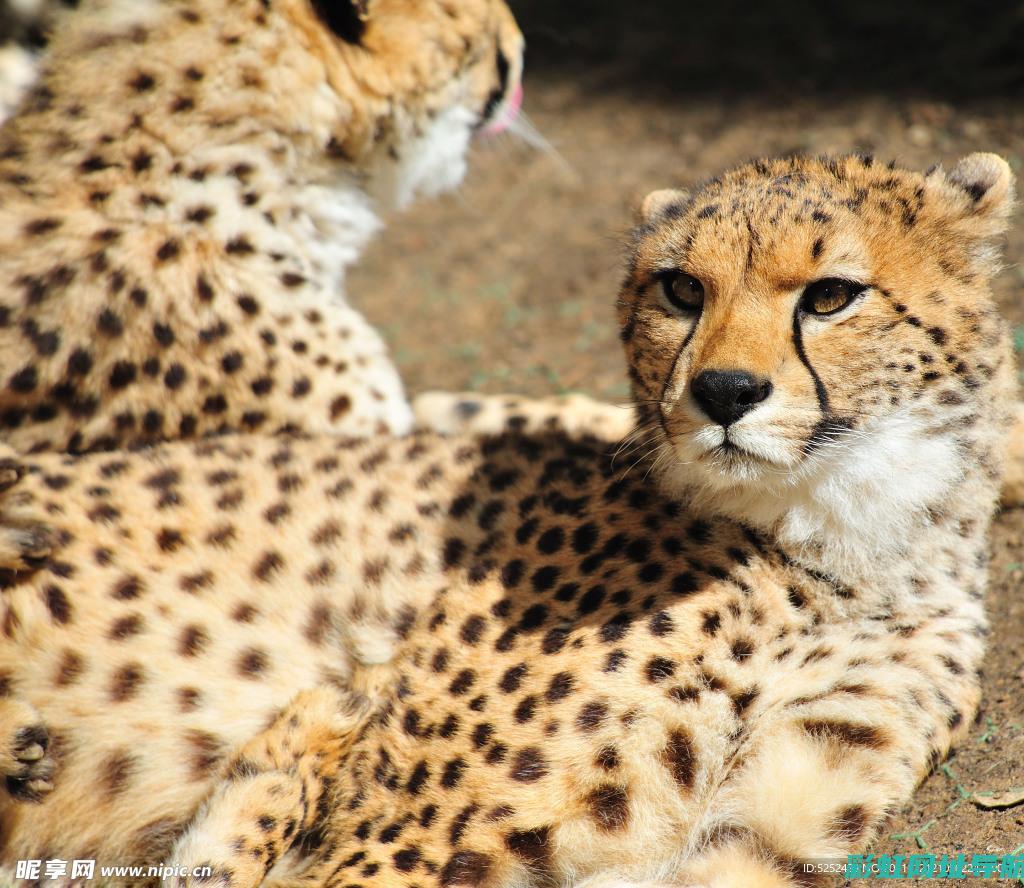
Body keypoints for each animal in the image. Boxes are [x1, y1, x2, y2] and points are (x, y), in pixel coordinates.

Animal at [0, 154, 1015, 888]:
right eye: (682, 290)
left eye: (831, 294)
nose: (724, 392)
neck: (842, 539)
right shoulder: (396, 845)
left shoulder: (764, 830)